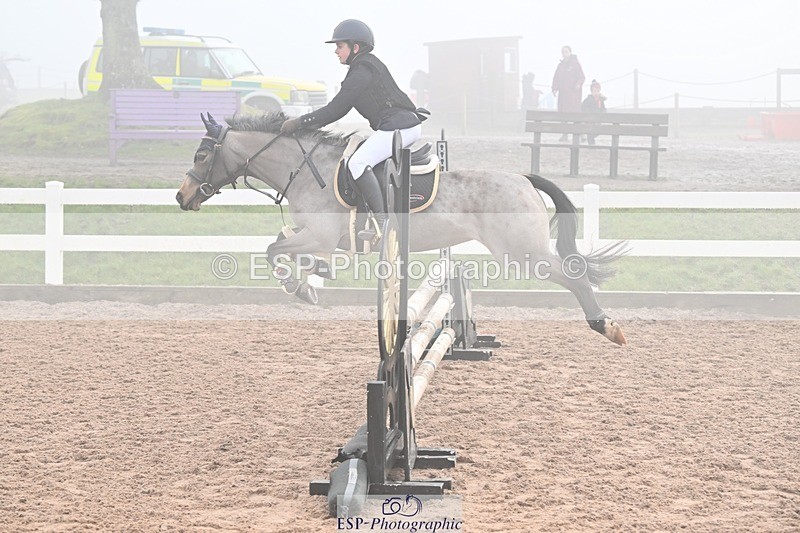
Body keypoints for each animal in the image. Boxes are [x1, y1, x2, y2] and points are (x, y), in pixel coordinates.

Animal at [176, 113, 628, 346]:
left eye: (201, 155)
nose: (182, 197)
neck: (306, 170)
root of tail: (522, 178)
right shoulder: (315, 237)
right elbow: (281, 246)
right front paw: (310, 277)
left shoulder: (321, 236)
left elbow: (275, 251)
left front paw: (301, 286)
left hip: (523, 254)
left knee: (575, 277)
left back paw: (606, 326)